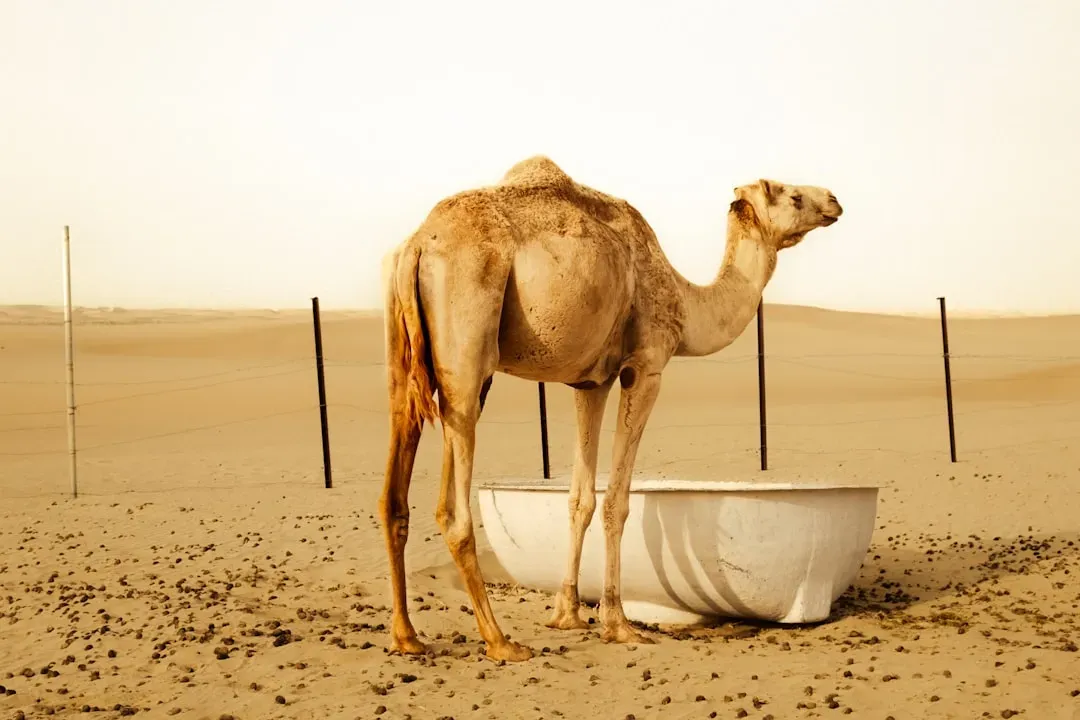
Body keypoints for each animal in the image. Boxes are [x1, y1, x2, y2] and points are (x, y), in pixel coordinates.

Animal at [379, 156, 843, 662]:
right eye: (792, 195)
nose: (835, 200)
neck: (685, 302)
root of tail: (418, 244)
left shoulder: (591, 382)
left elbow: (579, 499)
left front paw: (566, 613)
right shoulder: (646, 366)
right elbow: (617, 501)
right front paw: (617, 623)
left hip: (404, 360)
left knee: (394, 491)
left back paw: (407, 636)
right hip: (467, 349)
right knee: (454, 509)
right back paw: (500, 641)